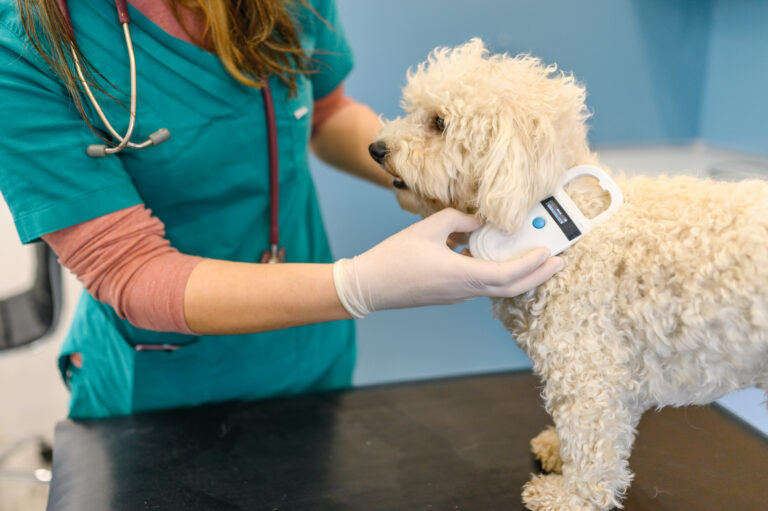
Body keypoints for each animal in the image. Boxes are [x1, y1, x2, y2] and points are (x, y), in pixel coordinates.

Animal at [370, 40, 768, 511]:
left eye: (439, 123)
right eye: (412, 110)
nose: (375, 148)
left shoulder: (587, 366)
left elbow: (592, 441)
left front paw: (570, 496)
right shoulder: (616, 367)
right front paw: (558, 451)